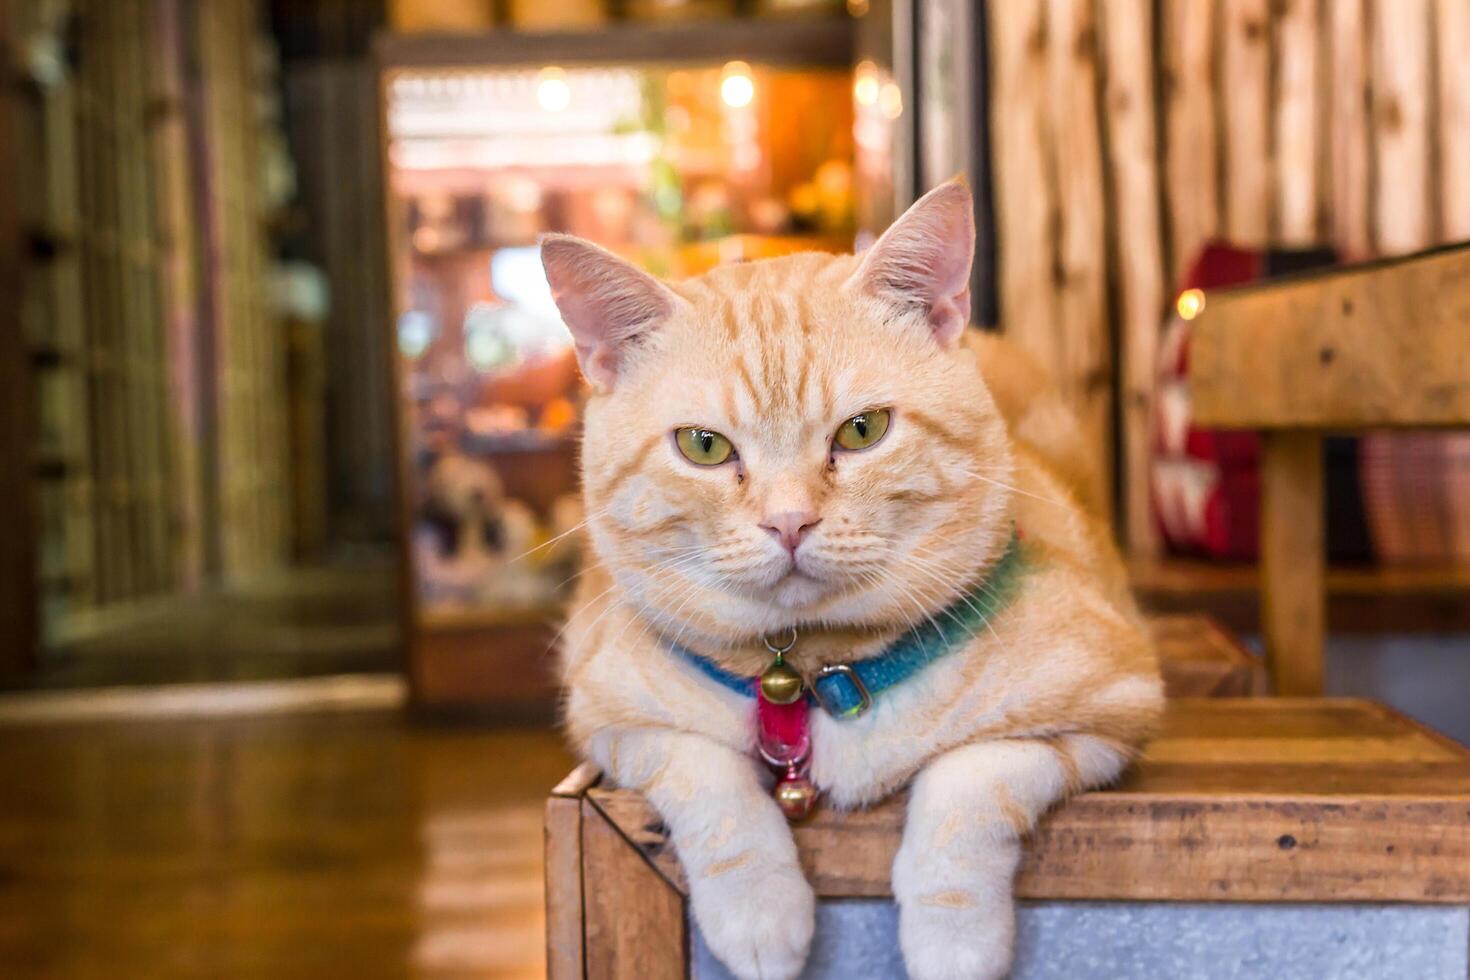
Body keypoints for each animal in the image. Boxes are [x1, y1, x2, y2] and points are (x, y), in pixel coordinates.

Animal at [540, 182, 1158, 980]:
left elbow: (968, 784)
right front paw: (759, 914)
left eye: (862, 431)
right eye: (703, 446)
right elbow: (708, 780)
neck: (809, 676)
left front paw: (953, 940)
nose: (789, 522)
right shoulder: (608, 718)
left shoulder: (1112, 707)